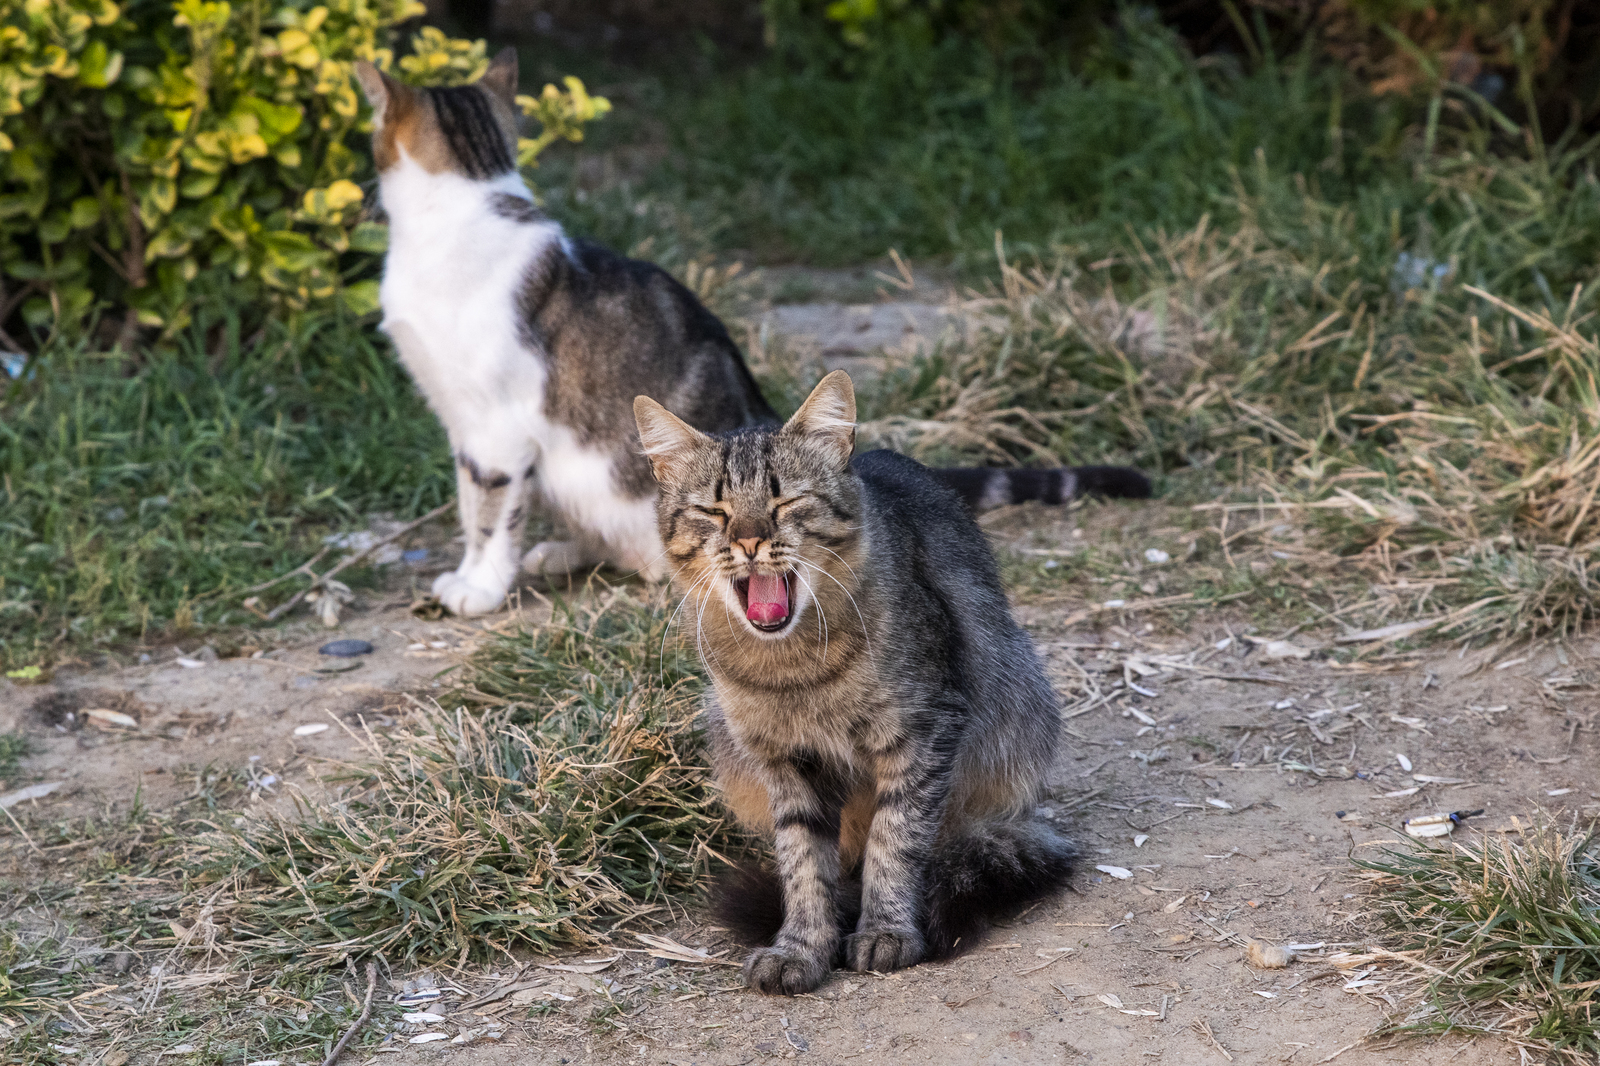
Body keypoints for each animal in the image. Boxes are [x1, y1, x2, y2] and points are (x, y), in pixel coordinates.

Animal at [352, 52, 1152, 614]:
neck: (464, 209)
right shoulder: (460, 419)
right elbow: (468, 505)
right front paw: (479, 569)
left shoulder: (494, 428)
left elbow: (489, 511)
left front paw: (481, 584)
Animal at [633, 369, 1075, 992]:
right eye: (715, 511)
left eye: (784, 501)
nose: (748, 541)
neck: (795, 671)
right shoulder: (785, 761)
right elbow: (803, 864)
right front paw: (802, 947)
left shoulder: (925, 731)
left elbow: (896, 839)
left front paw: (885, 929)